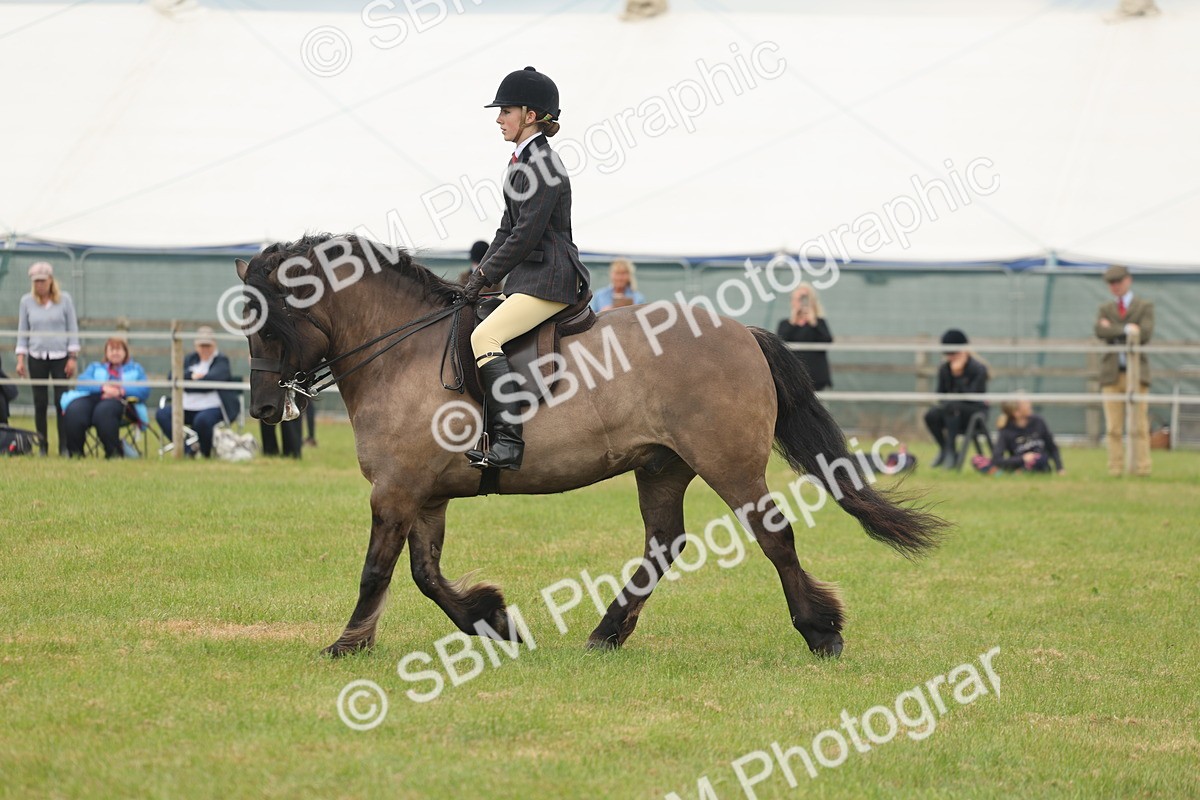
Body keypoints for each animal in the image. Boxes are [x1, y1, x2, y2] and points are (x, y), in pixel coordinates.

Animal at [234, 233, 946, 658]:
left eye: (268, 324)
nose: (266, 409)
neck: (400, 350)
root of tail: (743, 331)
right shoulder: (424, 496)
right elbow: (427, 575)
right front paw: (496, 623)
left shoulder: (395, 491)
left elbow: (377, 570)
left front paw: (346, 645)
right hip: (662, 467)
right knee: (663, 545)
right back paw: (606, 634)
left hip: (729, 465)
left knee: (774, 536)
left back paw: (820, 631)